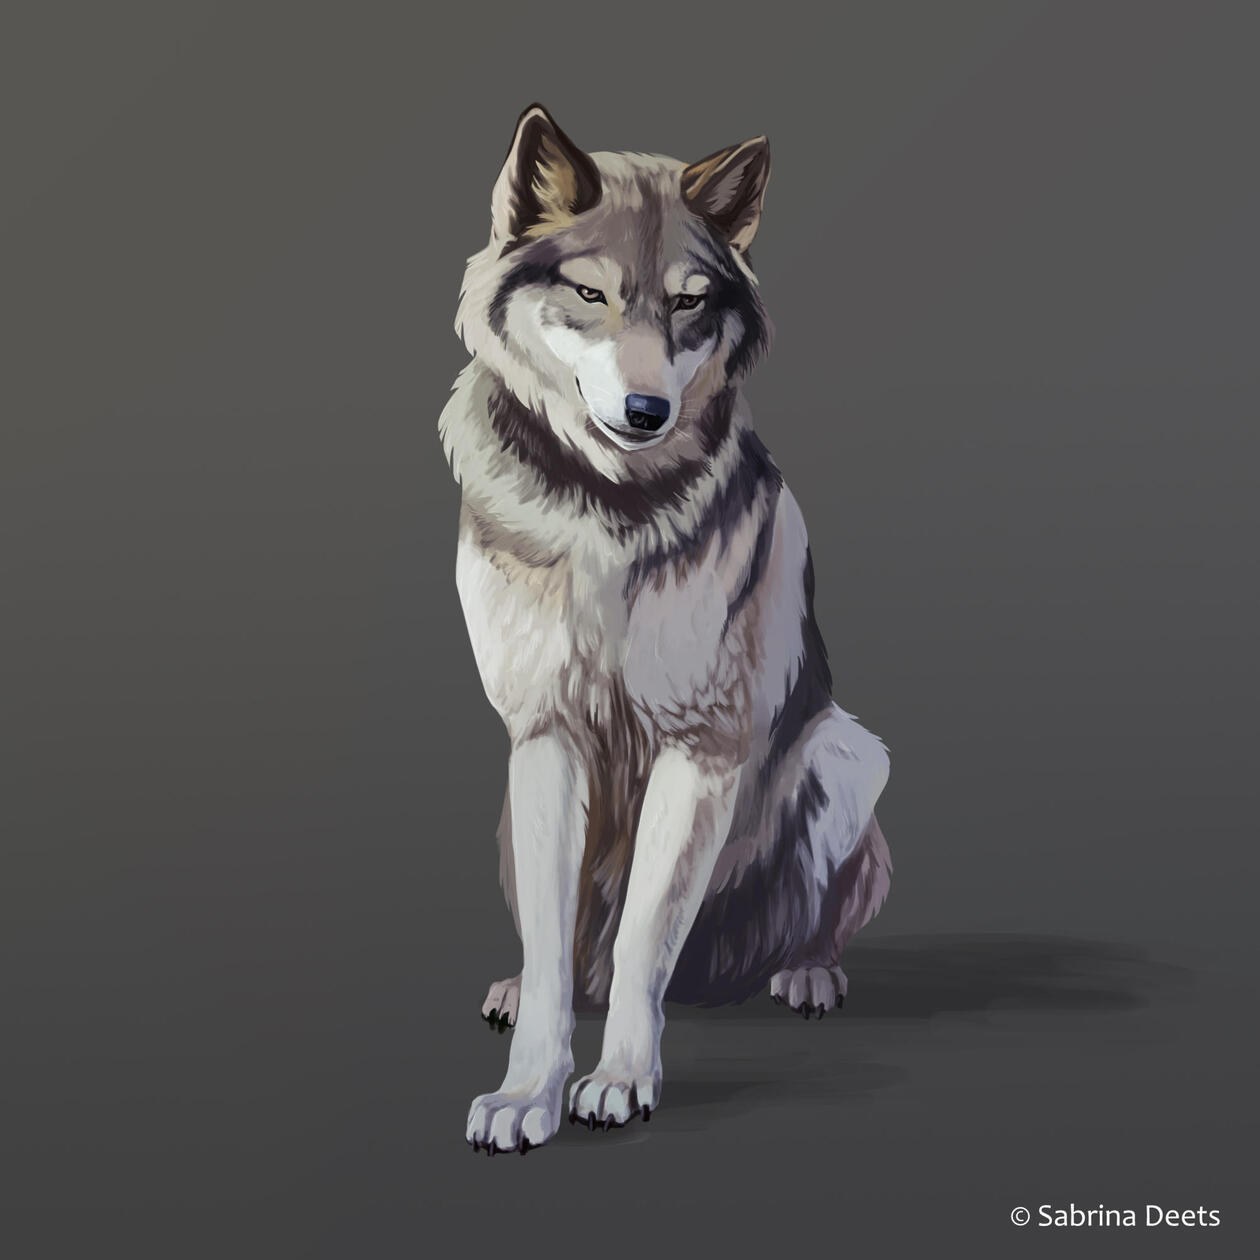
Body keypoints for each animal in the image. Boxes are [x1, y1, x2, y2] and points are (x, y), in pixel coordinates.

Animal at [440, 105, 892, 1155]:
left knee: (769, 926)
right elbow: (559, 949)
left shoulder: (701, 749)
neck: (606, 510)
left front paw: (619, 1082)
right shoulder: (545, 737)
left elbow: (649, 930)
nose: (646, 411)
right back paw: (520, 988)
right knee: (572, 952)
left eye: (689, 305)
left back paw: (806, 970)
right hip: (510, 808)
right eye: (590, 293)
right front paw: (527, 1094)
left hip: (848, 756)